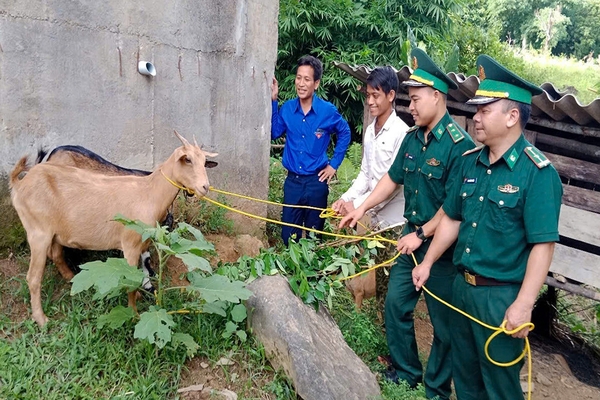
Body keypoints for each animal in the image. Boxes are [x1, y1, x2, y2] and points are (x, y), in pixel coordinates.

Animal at [9, 133, 217, 326]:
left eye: (204, 162)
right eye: (188, 160)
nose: (205, 187)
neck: (149, 192)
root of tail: (20, 182)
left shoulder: (143, 241)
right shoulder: (130, 244)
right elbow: (132, 281)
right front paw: (134, 313)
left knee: (56, 255)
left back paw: (72, 279)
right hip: (38, 233)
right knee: (33, 277)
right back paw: (41, 319)